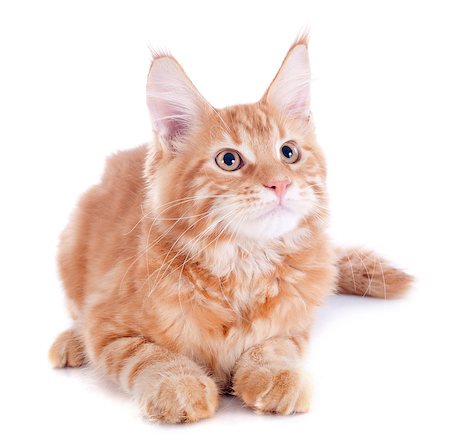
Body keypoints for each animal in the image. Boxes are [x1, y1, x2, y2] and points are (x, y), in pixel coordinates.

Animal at [48, 34, 412, 422]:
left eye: (288, 153)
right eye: (229, 160)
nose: (281, 184)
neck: (243, 264)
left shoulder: (294, 325)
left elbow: (271, 347)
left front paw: (273, 376)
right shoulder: (107, 324)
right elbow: (150, 355)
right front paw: (180, 385)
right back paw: (70, 343)